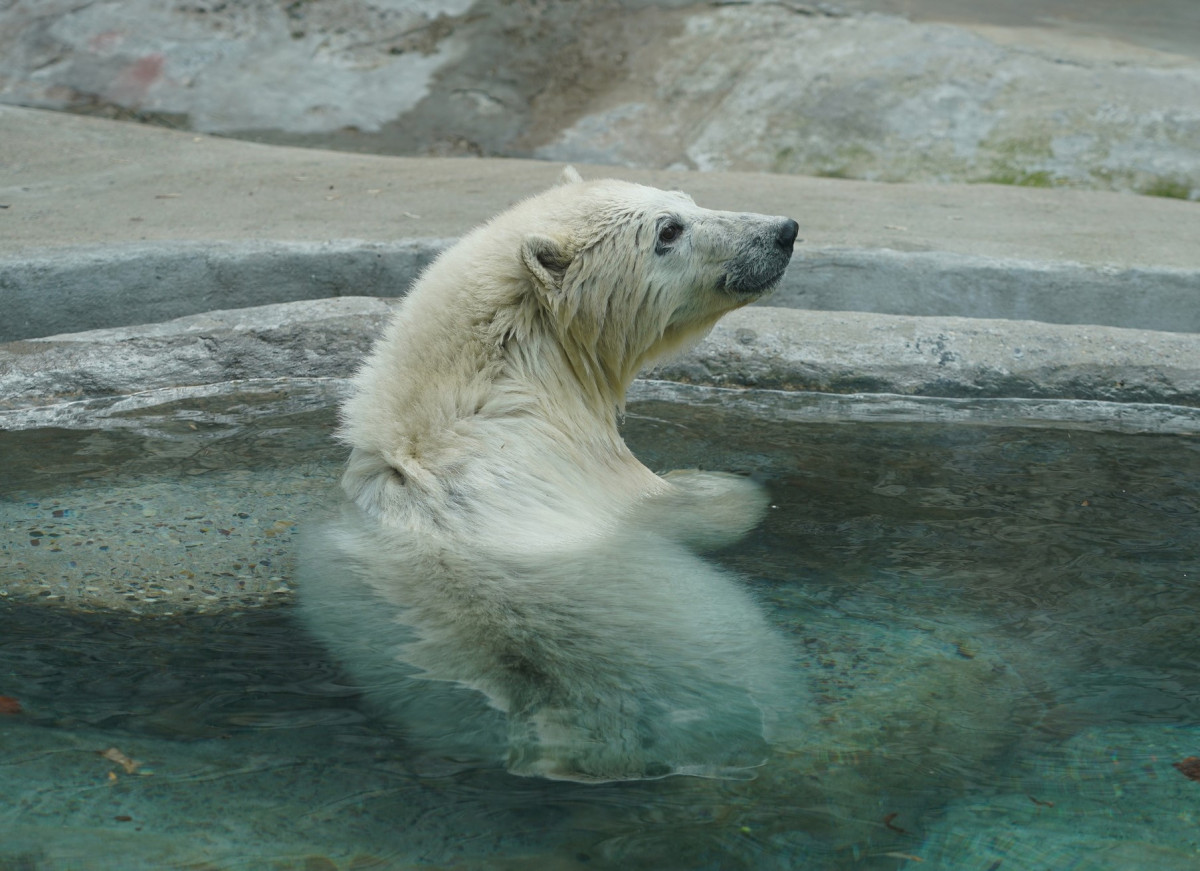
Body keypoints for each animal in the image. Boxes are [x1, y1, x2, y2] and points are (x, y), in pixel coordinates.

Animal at [300, 166, 806, 782]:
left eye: (687, 199)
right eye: (668, 230)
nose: (782, 231)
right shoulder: (585, 468)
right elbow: (686, 509)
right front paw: (734, 488)